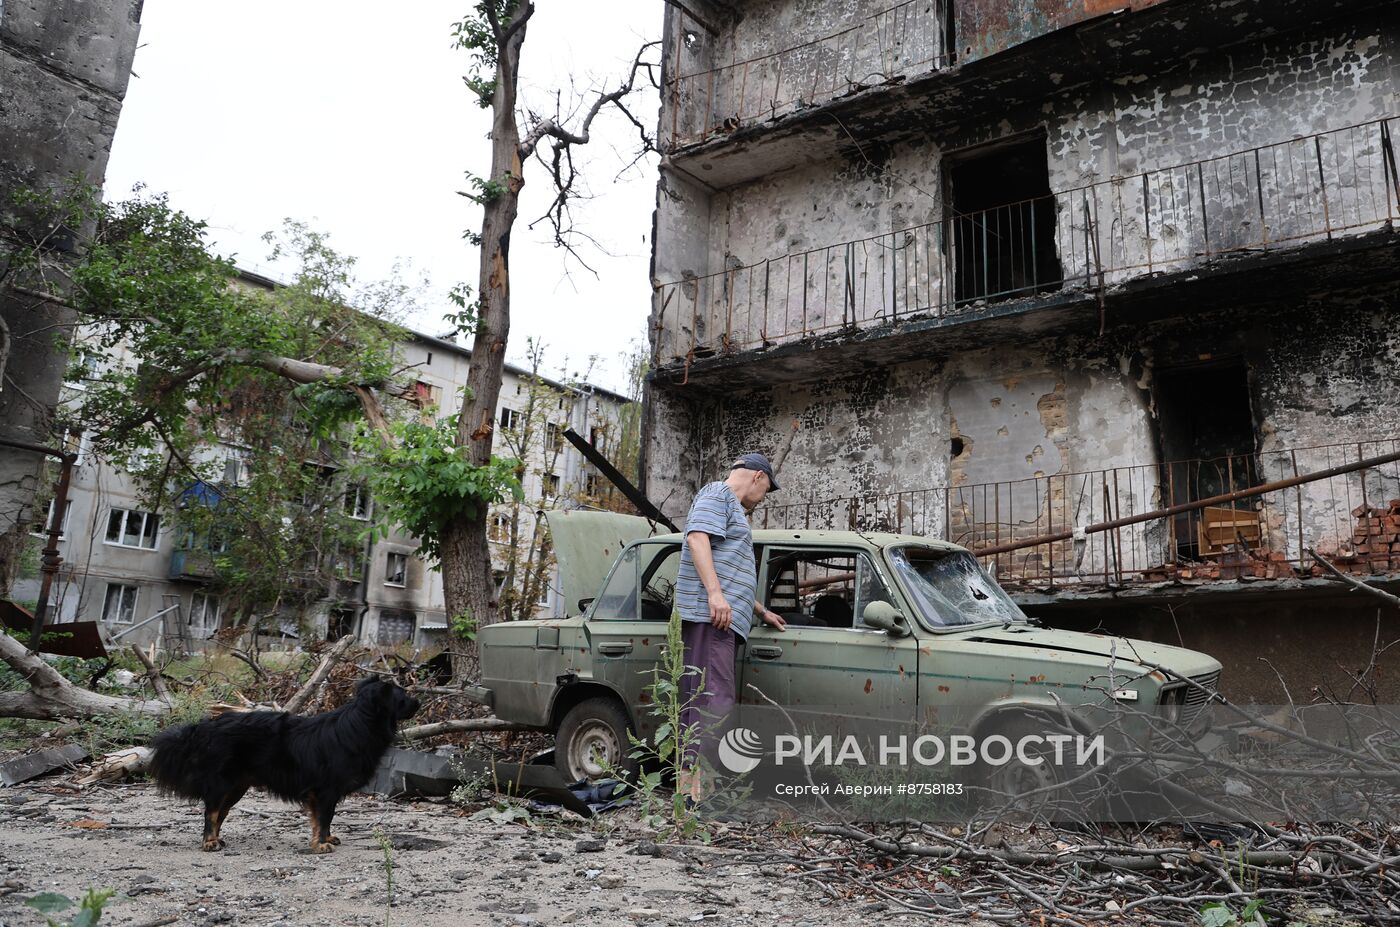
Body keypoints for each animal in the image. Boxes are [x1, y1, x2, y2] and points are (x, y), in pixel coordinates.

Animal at [152, 680, 417, 851]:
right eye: (403, 697)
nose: (419, 701)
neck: (361, 723)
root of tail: (206, 726)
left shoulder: (321, 793)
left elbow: (321, 819)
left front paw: (324, 839)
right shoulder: (326, 790)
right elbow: (325, 817)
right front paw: (321, 843)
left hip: (237, 786)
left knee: (220, 813)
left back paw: (216, 839)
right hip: (222, 782)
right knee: (211, 812)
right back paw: (209, 842)